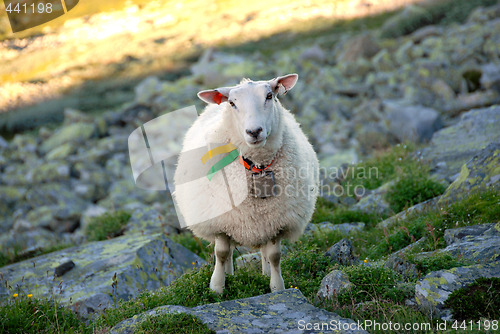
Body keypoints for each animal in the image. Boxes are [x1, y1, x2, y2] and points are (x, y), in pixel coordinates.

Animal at [174, 73, 318, 292]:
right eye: (232, 103)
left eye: (269, 96)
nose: (254, 131)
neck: (256, 166)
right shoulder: (221, 222)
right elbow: (221, 253)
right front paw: (217, 287)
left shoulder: (276, 222)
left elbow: (274, 256)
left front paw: (277, 288)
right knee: (228, 253)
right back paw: (229, 273)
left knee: (265, 253)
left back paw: (264, 273)